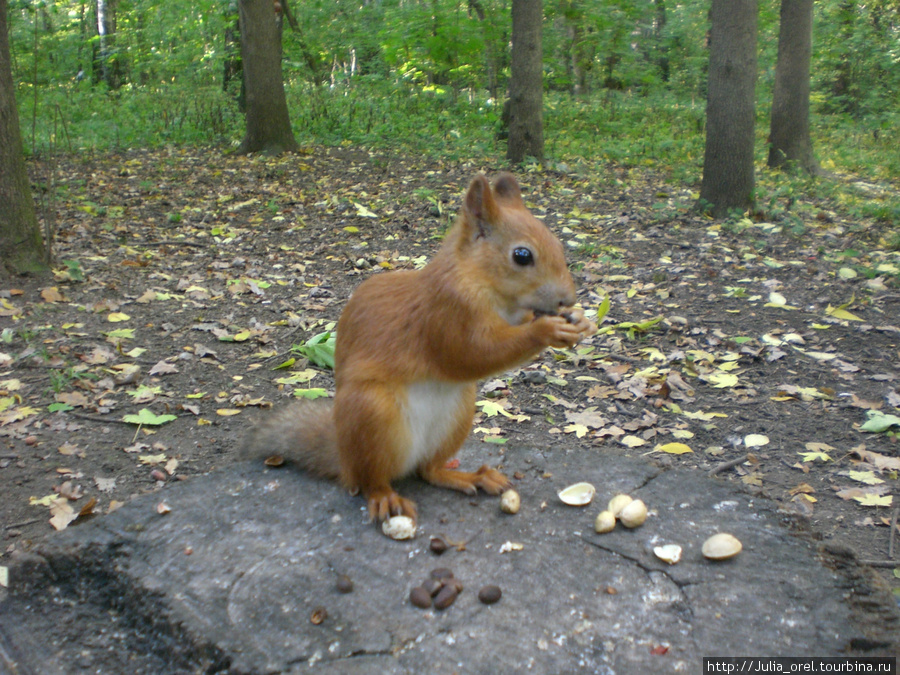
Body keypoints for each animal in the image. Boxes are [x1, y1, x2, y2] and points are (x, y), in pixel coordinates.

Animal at [246, 173, 596, 524]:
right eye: (522, 255)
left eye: (557, 243)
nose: (568, 299)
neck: (480, 281)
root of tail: (344, 461)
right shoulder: (445, 314)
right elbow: (472, 354)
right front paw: (546, 329)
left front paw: (578, 322)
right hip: (370, 412)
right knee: (371, 479)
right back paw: (385, 497)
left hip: (457, 414)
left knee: (428, 470)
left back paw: (467, 477)